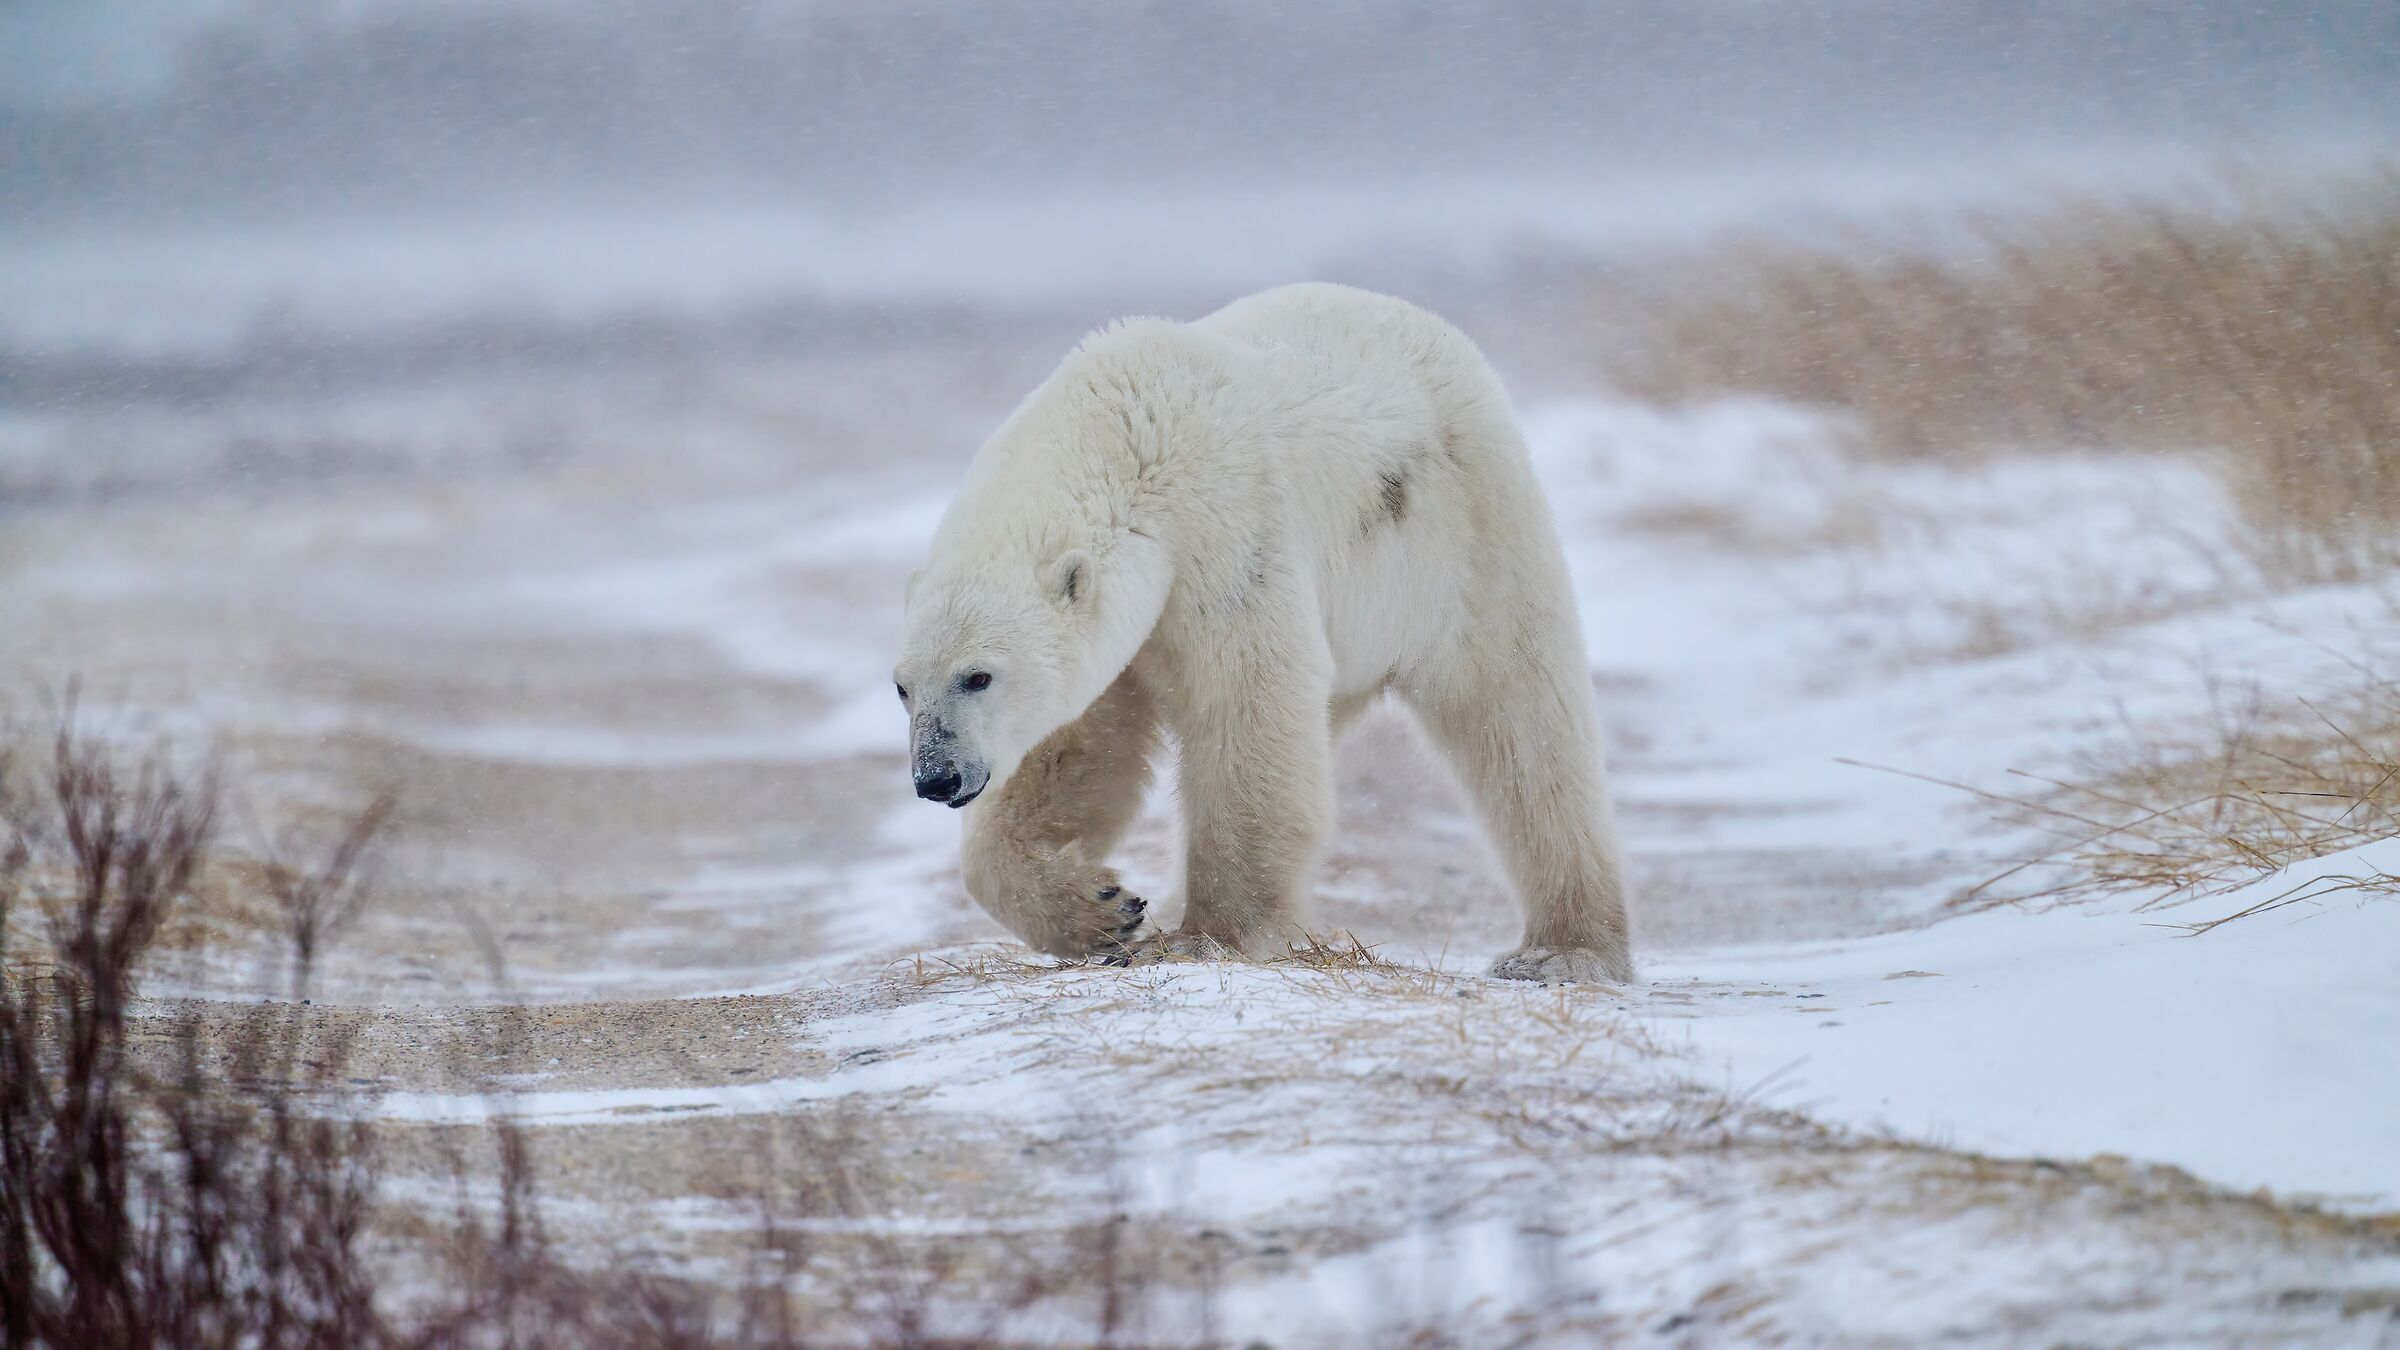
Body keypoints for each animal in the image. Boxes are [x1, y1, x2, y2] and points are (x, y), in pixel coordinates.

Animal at [893, 282, 1633, 983]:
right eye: (902, 688)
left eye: (978, 675)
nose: (936, 777)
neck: (1125, 430)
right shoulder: (1128, 632)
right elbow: (1077, 751)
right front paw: (1103, 910)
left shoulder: (1229, 535)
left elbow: (1245, 712)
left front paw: (1201, 937)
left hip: (1463, 529)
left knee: (1522, 722)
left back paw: (1565, 950)